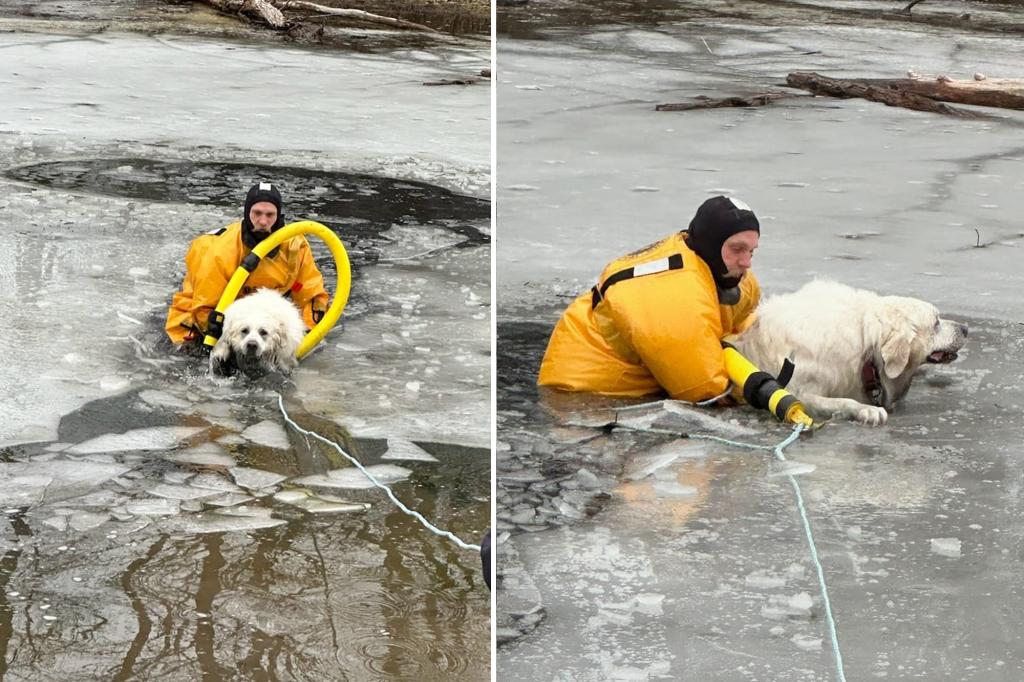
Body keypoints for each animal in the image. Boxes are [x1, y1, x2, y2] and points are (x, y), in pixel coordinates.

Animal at [729, 278, 966, 421]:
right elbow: (843, 401)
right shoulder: (800, 392)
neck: (865, 340)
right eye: (936, 323)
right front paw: (868, 410)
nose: (965, 329)